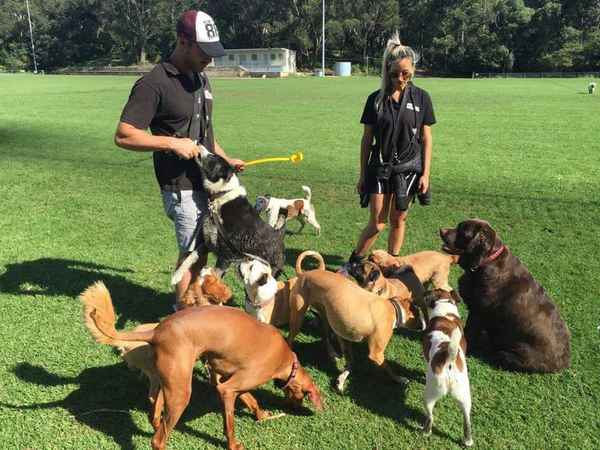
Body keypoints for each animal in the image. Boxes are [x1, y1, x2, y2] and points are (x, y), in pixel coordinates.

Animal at [82, 282, 324, 450]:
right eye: (304, 396)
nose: (295, 409)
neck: (287, 359)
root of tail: (157, 331)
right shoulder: (228, 389)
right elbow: (230, 424)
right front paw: (233, 445)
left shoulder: (225, 379)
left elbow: (251, 399)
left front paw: (261, 415)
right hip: (181, 393)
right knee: (158, 440)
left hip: (167, 382)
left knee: (154, 411)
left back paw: (156, 421)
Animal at [288, 268, 424, 390]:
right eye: (420, 314)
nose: (424, 326)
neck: (393, 309)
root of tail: (304, 273)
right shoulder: (376, 354)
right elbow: (388, 368)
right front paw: (399, 379)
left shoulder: (344, 336)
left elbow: (351, 362)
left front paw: (341, 378)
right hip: (297, 320)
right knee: (290, 338)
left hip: (326, 317)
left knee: (325, 336)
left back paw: (332, 354)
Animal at [422, 288, 474, 446]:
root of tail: (448, 359)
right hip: (465, 396)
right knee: (467, 420)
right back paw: (468, 441)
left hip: (429, 395)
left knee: (430, 416)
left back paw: (426, 432)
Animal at [440, 219, 572, 372]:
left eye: (462, 231)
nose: (441, 230)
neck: (485, 262)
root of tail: (564, 364)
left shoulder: (478, 312)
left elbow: (469, 333)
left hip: (512, 353)